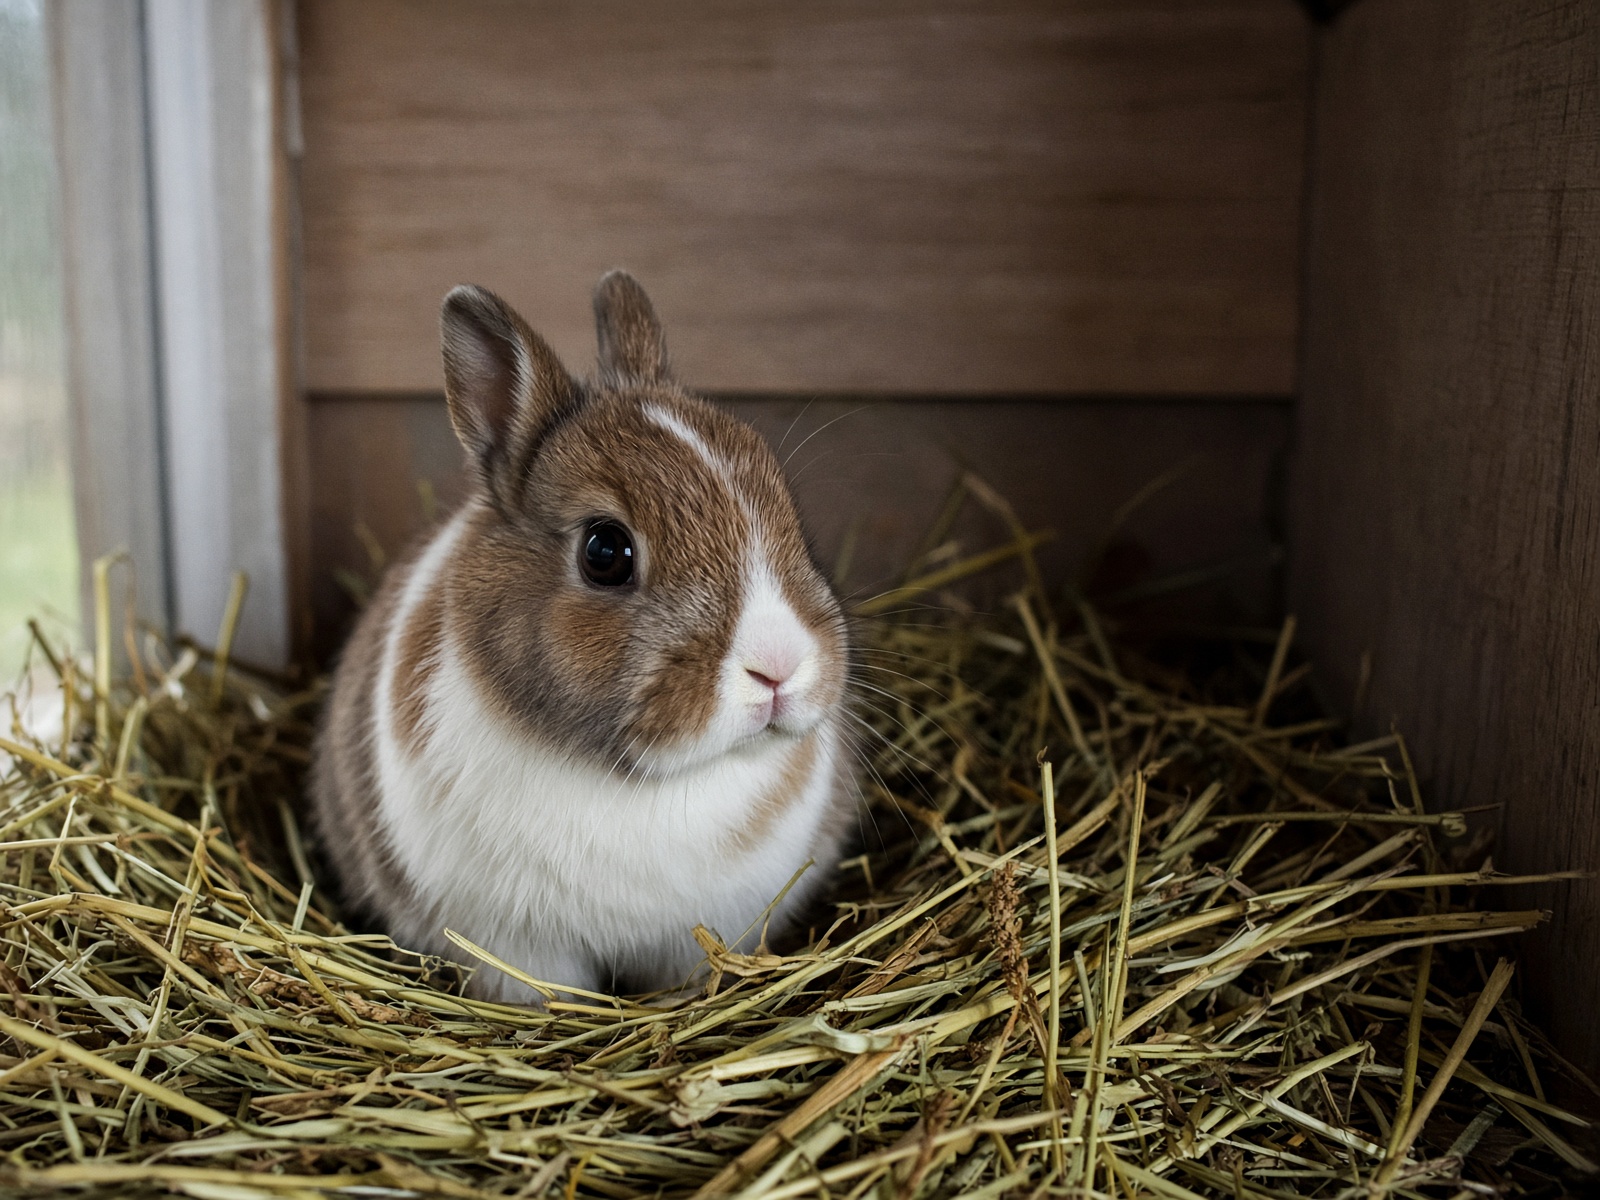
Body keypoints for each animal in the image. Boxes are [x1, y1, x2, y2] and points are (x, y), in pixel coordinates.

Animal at [310, 271, 856, 1003]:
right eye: (606, 551)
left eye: (786, 509)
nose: (778, 666)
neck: (637, 780)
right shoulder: (513, 943)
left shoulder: (709, 931)